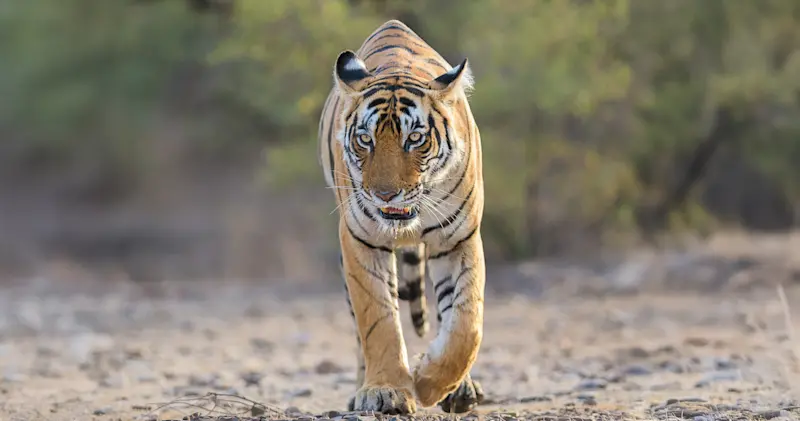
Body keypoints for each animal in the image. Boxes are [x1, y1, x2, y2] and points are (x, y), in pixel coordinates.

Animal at [317, 19, 486, 415]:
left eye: (416, 138)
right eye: (365, 139)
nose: (385, 194)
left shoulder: (459, 239)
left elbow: (466, 323)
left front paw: (429, 382)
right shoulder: (360, 241)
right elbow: (379, 321)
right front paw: (386, 391)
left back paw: (460, 388)